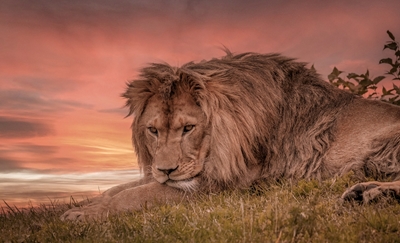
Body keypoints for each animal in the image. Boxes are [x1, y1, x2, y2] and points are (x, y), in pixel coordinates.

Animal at [61, 50, 400, 220]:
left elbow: (132, 196)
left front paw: (82, 216)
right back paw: (360, 192)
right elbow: (115, 190)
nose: (166, 169)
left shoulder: (219, 185)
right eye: (153, 130)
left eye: (188, 128)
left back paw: (372, 194)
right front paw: (73, 208)